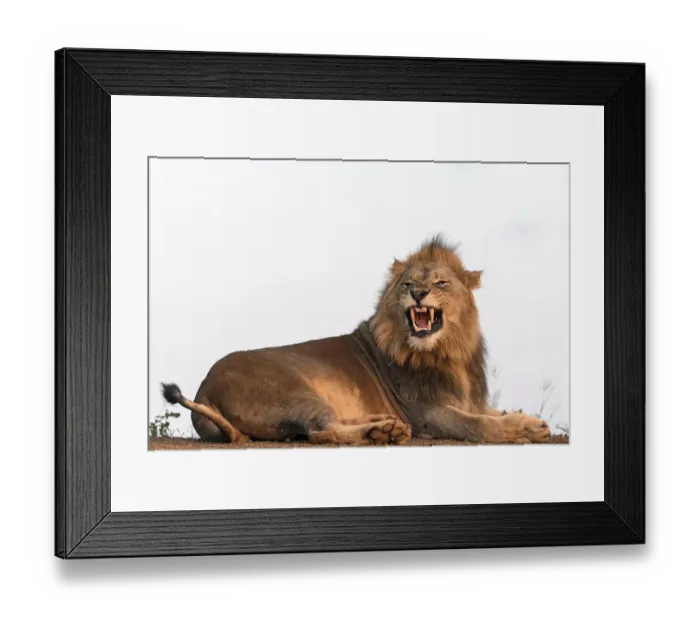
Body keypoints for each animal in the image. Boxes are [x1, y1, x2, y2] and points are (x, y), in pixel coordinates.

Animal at [161, 235, 551, 446]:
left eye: (441, 283)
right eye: (409, 283)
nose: (419, 293)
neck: (449, 352)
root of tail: (204, 389)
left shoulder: (468, 399)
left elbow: (495, 412)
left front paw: (530, 422)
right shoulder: (426, 413)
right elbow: (478, 424)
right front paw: (519, 430)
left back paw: (386, 424)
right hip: (290, 391)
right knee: (321, 431)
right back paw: (382, 433)